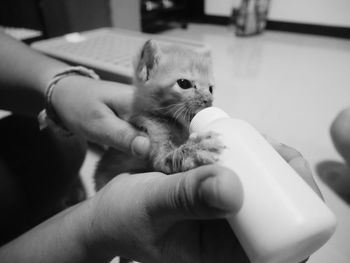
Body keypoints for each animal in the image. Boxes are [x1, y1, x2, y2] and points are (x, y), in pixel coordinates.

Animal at [93, 40, 224, 191]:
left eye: (210, 89)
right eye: (184, 83)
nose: (209, 100)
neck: (175, 123)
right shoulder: (154, 139)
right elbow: (169, 158)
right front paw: (197, 149)